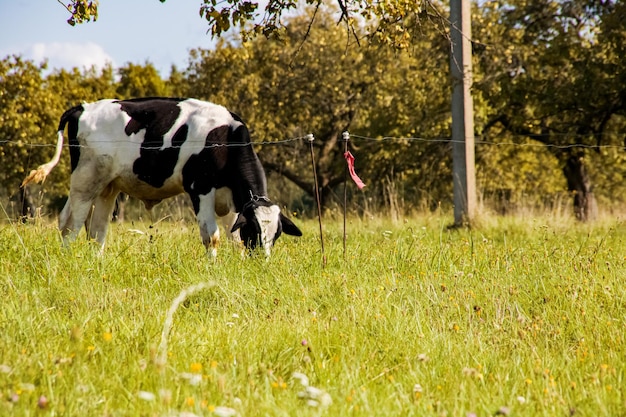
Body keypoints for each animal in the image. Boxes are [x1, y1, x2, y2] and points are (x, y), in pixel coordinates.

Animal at [25, 96, 304, 256]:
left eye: (276, 234)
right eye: (255, 231)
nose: (261, 261)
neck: (224, 138)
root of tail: (82, 107)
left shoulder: (233, 200)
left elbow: (234, 237)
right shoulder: (200, 188)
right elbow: (211, 236)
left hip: (108, 186)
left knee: (96, 231)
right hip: (86, 180)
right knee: (70, 223)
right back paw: (67, 260)